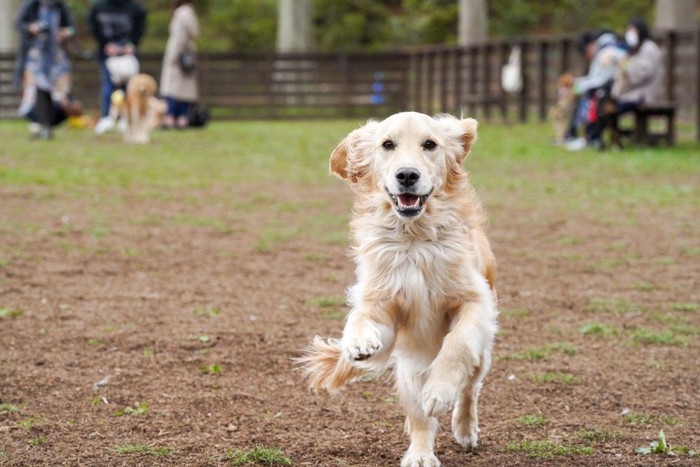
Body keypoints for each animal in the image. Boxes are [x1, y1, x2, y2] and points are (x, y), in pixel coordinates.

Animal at [298, 111, 500, 466]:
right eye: (387, 144)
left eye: (430, 144)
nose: (407, 174)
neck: (413, 239)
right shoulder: (386, 305)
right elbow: (361, 316)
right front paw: (358, 341)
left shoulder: (475, 302)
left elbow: (457, 343)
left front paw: (439, 391)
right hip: (409, 368)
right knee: (419, 417)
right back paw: (420, 454)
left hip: (481, 356)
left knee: (469, 389)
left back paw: (464, 428)